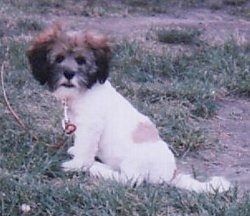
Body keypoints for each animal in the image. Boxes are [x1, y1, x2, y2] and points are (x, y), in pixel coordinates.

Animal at [26, 24, 230, 193]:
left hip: (134, 162)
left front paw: (76, 165)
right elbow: (80, 144)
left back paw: (98, 169)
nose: (69, 73)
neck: (84, 91)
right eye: (59, 58)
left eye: (81, 60)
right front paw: (75, 152)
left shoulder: (90, 127)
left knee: (129, 180)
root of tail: (171, 173)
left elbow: (85, 149)